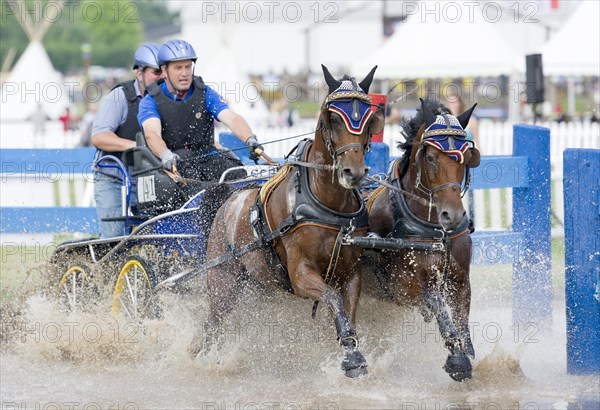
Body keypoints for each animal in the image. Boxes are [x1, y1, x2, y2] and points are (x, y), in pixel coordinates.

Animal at [192, 65, 384, 378]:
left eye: (369, 119)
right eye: (333, 117)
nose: (353, 172)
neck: (326, 203)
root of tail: (228, 199)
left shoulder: (351, 273)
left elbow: (348, 311)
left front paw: (352, 354)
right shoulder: (300, 274)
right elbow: (333, 299)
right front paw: (352, 359)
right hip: (223, 280)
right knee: (213, 322)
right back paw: (205, 358)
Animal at [360, 98, 482, 382]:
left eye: (466, 158)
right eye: (430, 157)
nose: (453, 215)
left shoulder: (461, 281)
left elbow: (461, 321)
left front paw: (467, 353)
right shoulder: (405, 287)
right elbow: (438, 306)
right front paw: (457, 360)